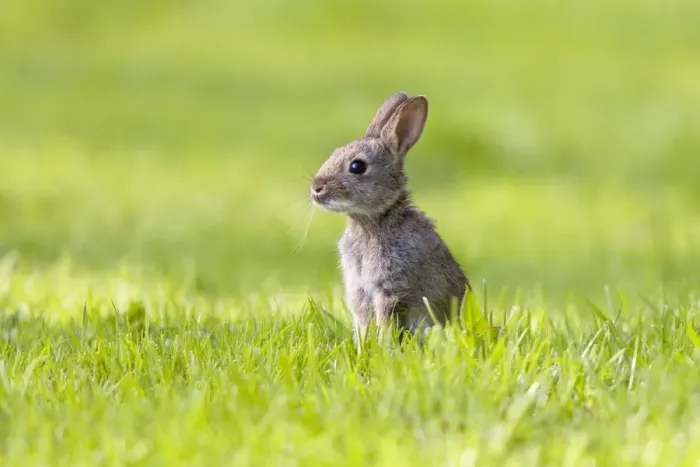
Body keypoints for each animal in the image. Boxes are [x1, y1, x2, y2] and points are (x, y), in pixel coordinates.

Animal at [310, 91, 470, 344]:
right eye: (333, 153)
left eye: (357, 166)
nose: (316, 188)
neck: (373, 220)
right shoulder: (360, 290)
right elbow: (364, 320)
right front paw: (365, 344)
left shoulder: (391, 288)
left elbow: (385, 318)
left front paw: (383, 345)